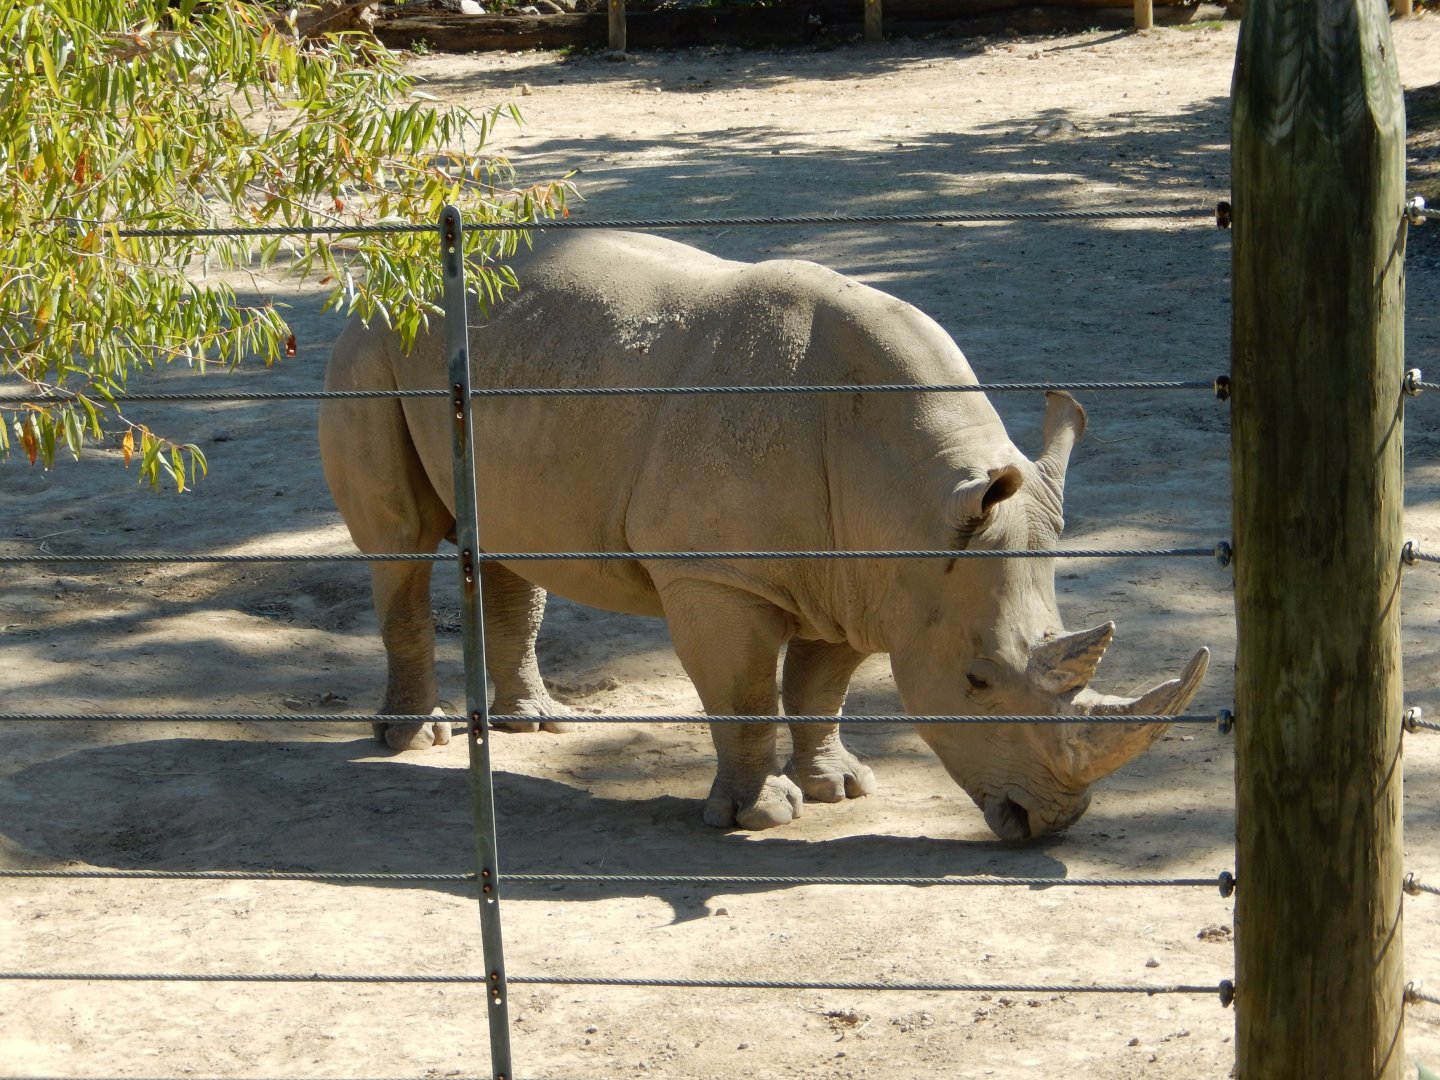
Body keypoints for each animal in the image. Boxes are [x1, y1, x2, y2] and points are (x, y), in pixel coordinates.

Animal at [319, 230, 1207, 841]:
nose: (1051, 823)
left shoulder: (864, 575)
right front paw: (764, 816)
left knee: (506, 530)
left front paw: (840, 789)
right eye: (977, 681)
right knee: (399, 541)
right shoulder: (718, 574)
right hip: (373, 339)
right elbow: (743, 690)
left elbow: (819, 688)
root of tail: (391, 263)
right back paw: (419, 739)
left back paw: (536, 726)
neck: (910, 498)